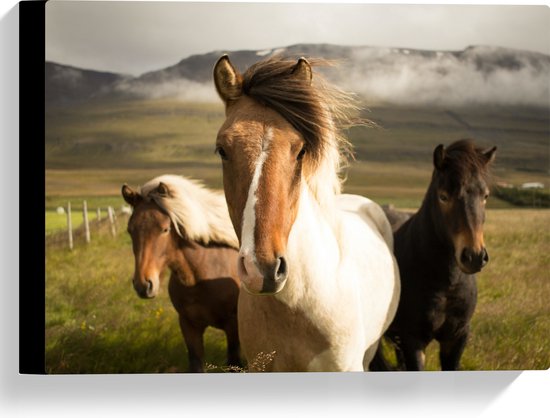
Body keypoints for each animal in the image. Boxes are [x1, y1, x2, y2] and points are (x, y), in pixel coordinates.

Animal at [122, 173, 243, 372]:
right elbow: (196, 364)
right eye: (130, 230)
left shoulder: (233, 327)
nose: (143, 285)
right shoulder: (188, 326)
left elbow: (235, 362)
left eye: (165, 229)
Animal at [374, 140, 498, 372]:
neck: (446, 284)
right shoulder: (413, 340)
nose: (474, 256)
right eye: (443, 196)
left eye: (485, 196)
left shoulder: (456, 338)